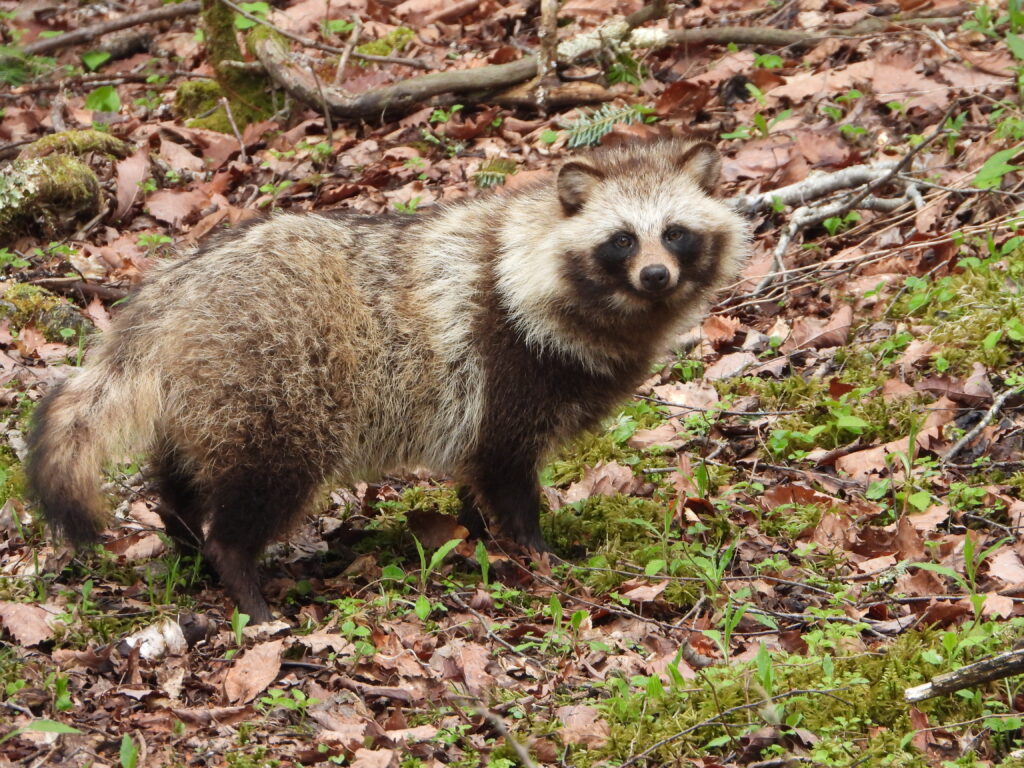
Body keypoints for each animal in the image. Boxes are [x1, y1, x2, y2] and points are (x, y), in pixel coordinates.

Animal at [26, 138, 747, 623]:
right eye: (622, 240)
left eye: (675, 234)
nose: (656, 276)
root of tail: (171, 293)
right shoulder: (507, 366)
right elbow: (505, 471)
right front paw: (535, 549)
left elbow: (474, 475)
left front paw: (475, 533)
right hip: (274, 386)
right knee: (262, 483)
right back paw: (237, 572)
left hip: (206, 396)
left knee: (182, 473)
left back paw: (182, 531)